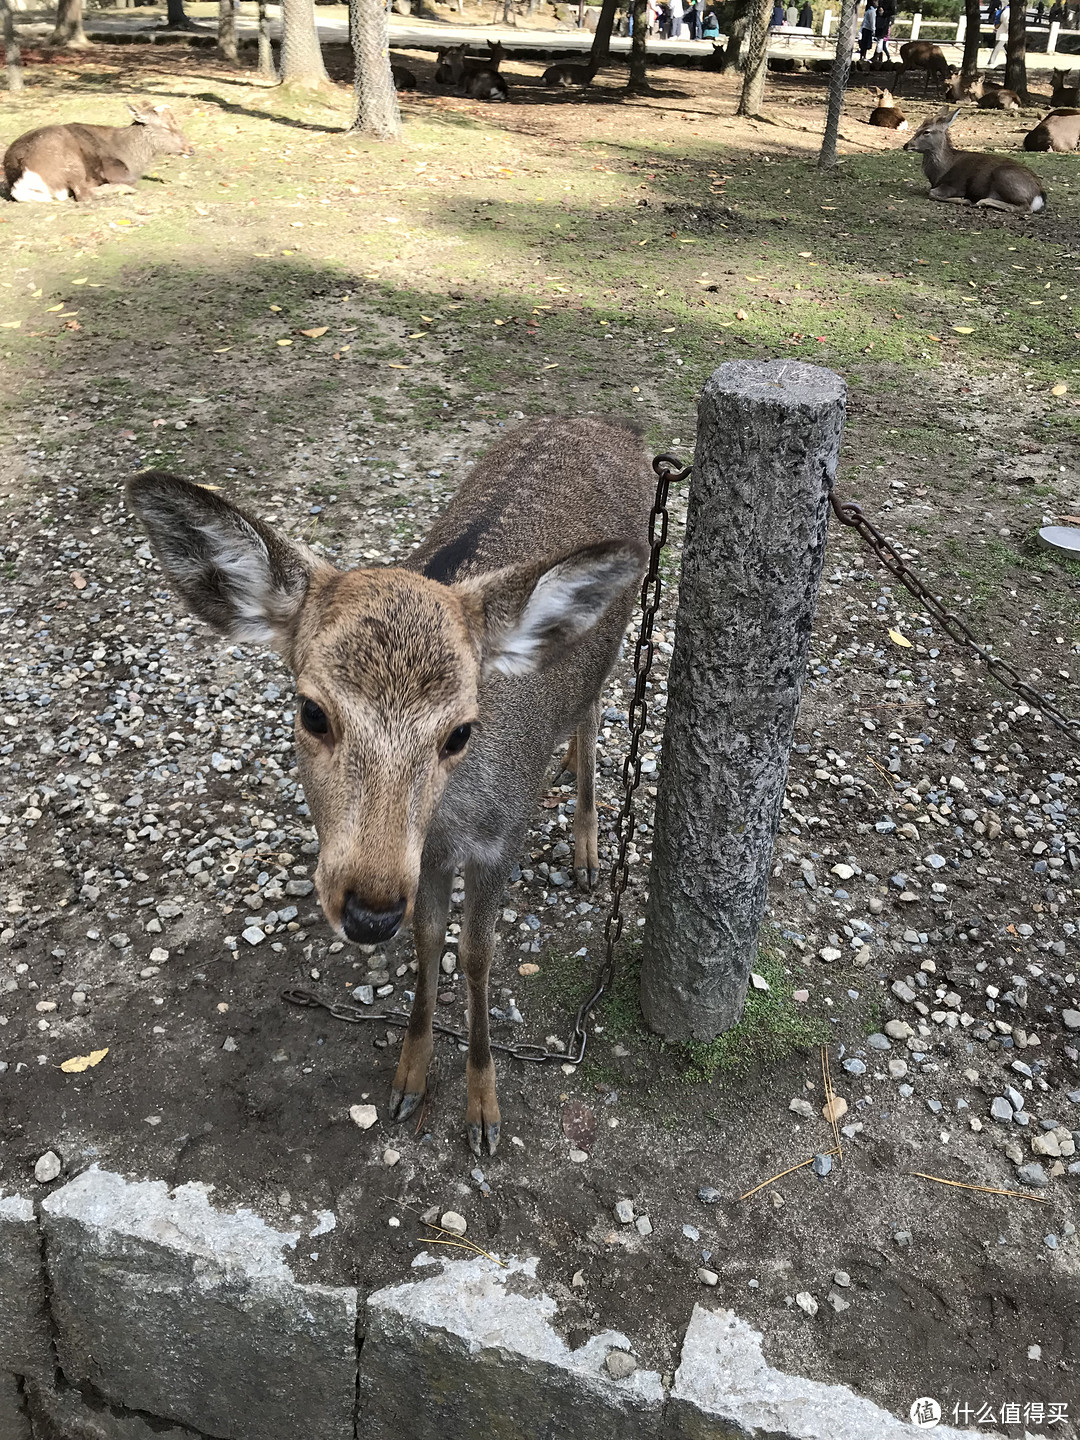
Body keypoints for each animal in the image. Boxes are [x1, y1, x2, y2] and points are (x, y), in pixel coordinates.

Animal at [4, 104, 191, 204]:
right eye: (166, 127)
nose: (190, 149)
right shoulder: (114, 169)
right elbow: (132, 180)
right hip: (72, 163)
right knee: (83, 194)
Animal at [126, 417, 650, 1157]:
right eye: (312, 711)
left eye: (460, 732)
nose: (369, 912)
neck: (450, 824)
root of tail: (608, 423)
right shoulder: (423, 859)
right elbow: (429, 938)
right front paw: (408, 1079)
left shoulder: (502, 840)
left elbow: (477, 955)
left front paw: (484, 1112)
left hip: (618, 634)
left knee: (595, 707)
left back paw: (586, 849)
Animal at [904, 108, 1048, 211]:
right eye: (917, 128)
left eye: (926, 131)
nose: (906, 145)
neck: (940, 172)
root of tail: (1039, 195)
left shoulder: (956, 184)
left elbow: (932, 193)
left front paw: (964, 200)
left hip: (1005, 175)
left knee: (1025, 207)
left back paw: (982, 201)